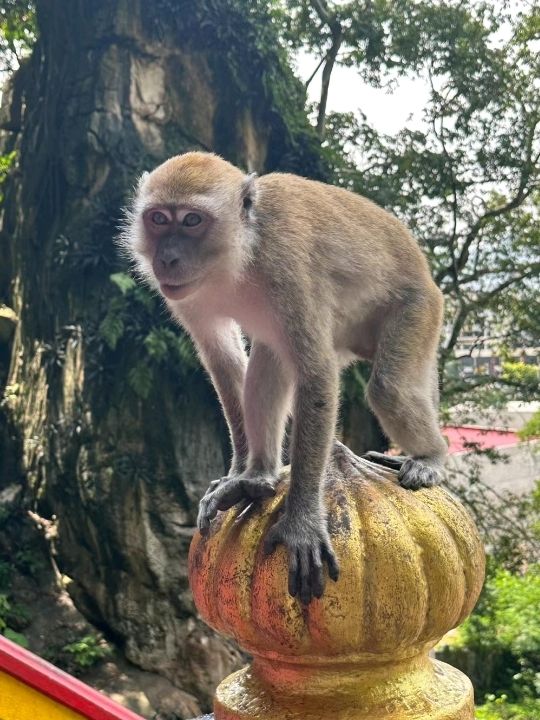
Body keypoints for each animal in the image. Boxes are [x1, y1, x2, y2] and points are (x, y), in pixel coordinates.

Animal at [121, 152, 448, 608]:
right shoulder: (186, 292)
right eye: (157, 219)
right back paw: (259, 476)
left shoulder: (285, 266)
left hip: (417, 309)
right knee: (268, 359)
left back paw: (431, 456)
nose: (166, 258)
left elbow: (316, 374)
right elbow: (225, 363)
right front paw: (238, 473)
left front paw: (302, 523)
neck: (238, 254)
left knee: (389, 387)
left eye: (191, 220)